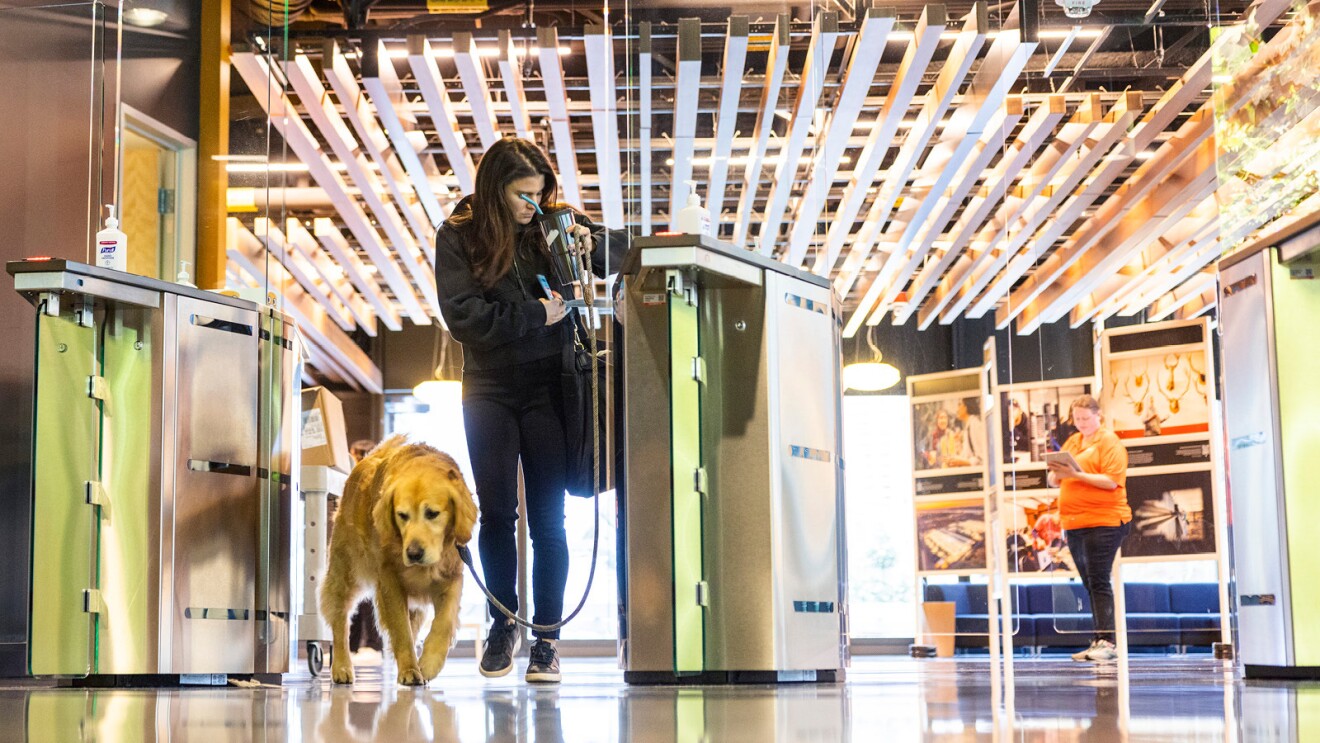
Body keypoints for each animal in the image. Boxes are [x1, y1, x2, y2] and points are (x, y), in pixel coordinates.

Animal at [320, 435, 480, 686]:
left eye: (432, 513)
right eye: (402, 515)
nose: (413, 554)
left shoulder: (452, 578)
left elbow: (443, 623)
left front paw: (429, 663)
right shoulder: (390, 583)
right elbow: (401, 630)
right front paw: (410, 669)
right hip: (345, 571)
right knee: (340, 621)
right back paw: (342, 666)